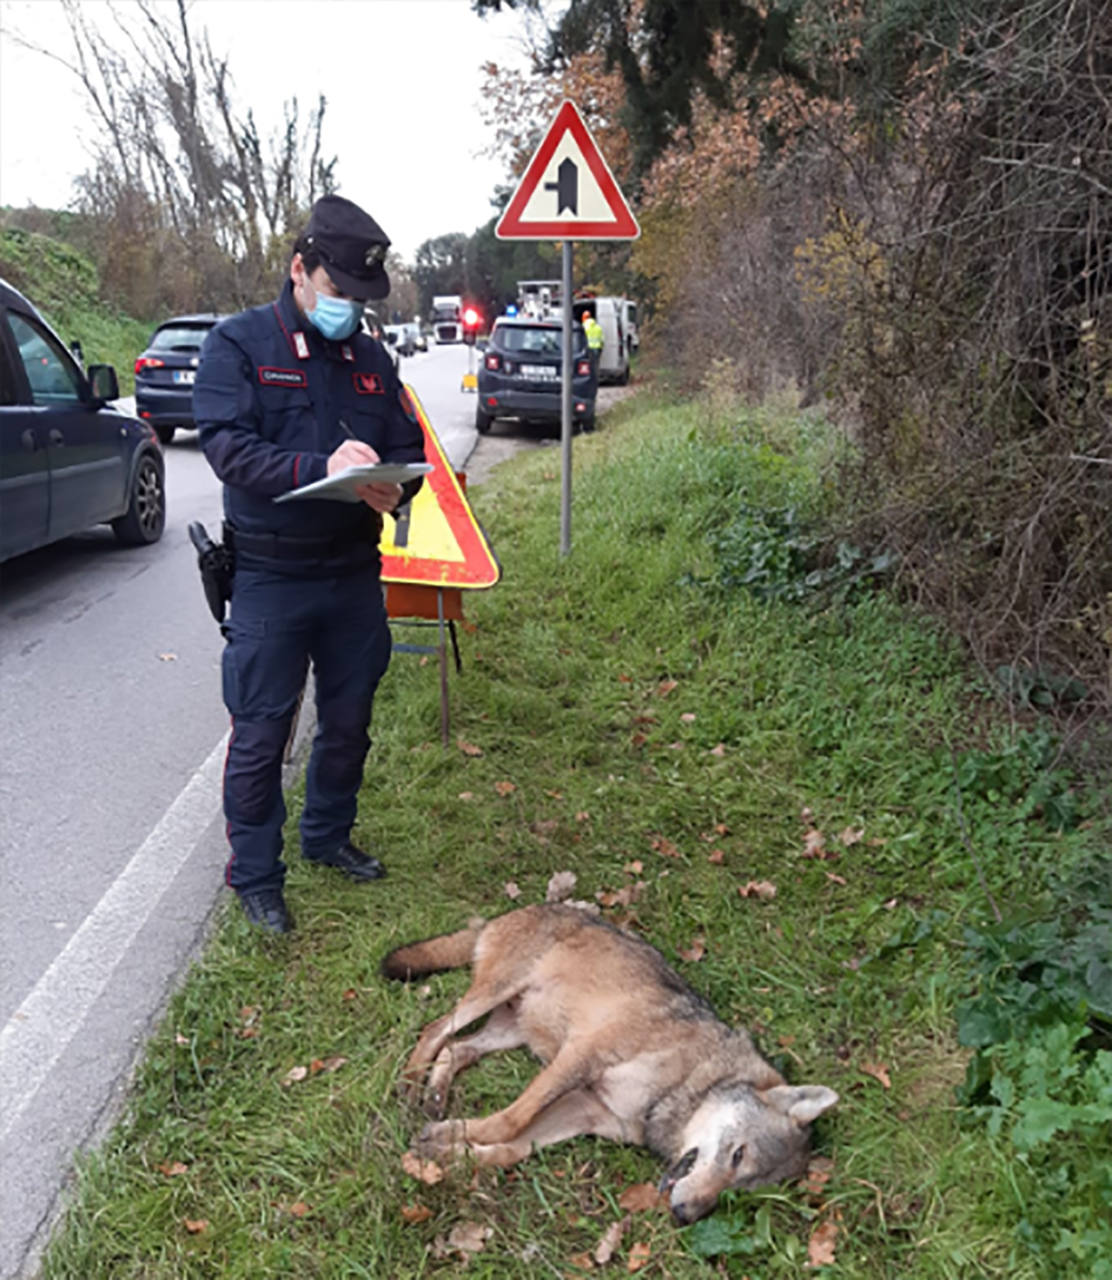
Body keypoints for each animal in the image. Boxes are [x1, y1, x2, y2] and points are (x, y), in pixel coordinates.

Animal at [381, 901, 834, 1218]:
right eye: (737, 1156)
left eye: (736, 1194)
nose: (686, 1216)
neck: (684, 1081)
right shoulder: (580, 1057)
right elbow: (510, 1120)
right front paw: (447, 1138)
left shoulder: (584, 1108)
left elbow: (514, 1147)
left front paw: (449, 1148)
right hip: (493, 997)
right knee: (435, 1029)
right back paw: (410, 1082)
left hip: (510, 1031)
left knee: (457, 1049)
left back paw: (435, 1096)